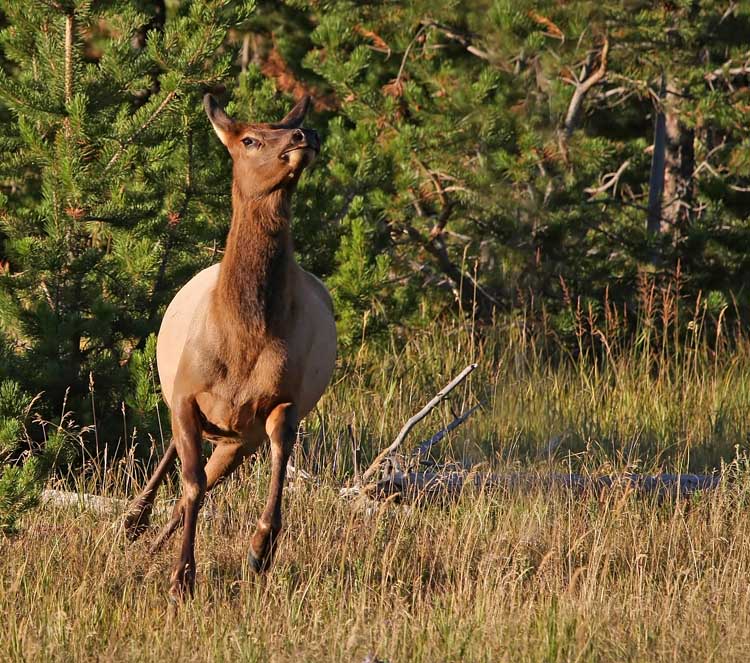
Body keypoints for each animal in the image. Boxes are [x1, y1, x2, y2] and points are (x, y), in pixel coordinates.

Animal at [125, 94, 336, 600]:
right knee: (179, 463)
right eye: (250, 139)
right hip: (188, 401)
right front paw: (182, 577)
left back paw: (153, 540)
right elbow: (191, 484)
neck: (245, 334)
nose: (306, 134)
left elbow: (277, 455)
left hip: (237, 438)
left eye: (288, 127)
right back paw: (134, 521)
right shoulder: (186, 393)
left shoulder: (282, 403)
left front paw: (261, 548)